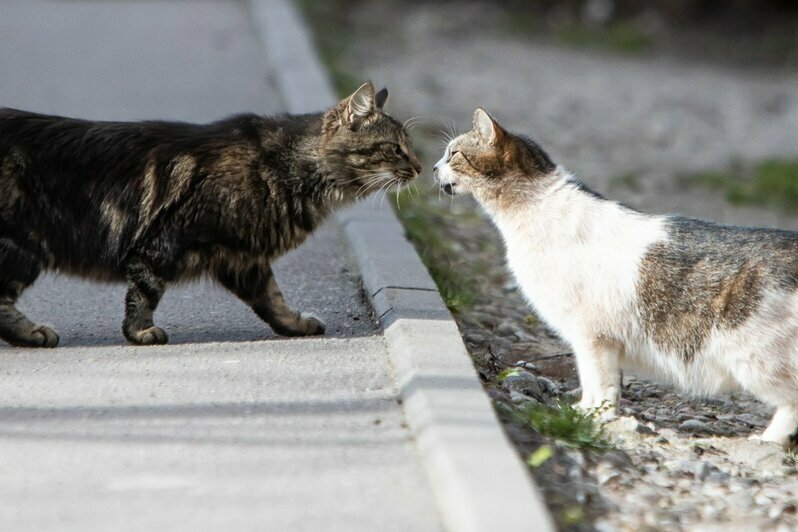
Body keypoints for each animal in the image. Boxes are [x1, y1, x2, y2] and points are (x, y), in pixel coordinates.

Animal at [0, 81, 422, 348]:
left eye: (410, 147)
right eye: (395, 149)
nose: (420, 168)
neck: (290, 171)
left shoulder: (244, 260)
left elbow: (274, 300)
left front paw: (296, 324)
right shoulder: (161, 245)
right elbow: (143, 294)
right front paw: (141, 333)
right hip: (23, 245)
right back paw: (34, 333)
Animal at [434, 109, 798, 448]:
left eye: (453, 153)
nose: (435, 168)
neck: (535, 209)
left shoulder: (591, 336)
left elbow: (598, 382)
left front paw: (593, 416)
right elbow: (601, 383)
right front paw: (588, 410)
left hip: (757, 358)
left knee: (790, 402)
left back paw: (767, 440)